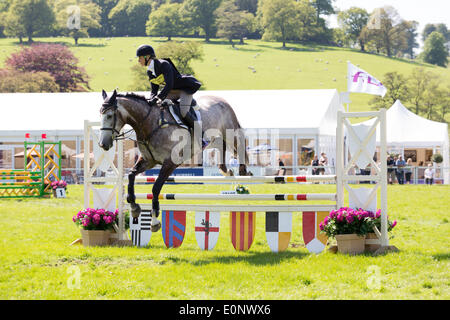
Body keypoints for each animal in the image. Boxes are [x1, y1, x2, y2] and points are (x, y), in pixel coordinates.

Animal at [98, 90, 250, 232]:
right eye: (100, 115)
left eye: (109, 116)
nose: (103, 144)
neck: (149, 123)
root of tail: (222, 100)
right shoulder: (149, 161)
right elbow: (130, 175)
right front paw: (134, 207)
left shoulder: (170, 163)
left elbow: (156, 187)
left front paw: (154, 220)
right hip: (215, 139)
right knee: (222, 148)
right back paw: (227, 171)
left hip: (230, 132)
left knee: (239, 146)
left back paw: (243, 171)